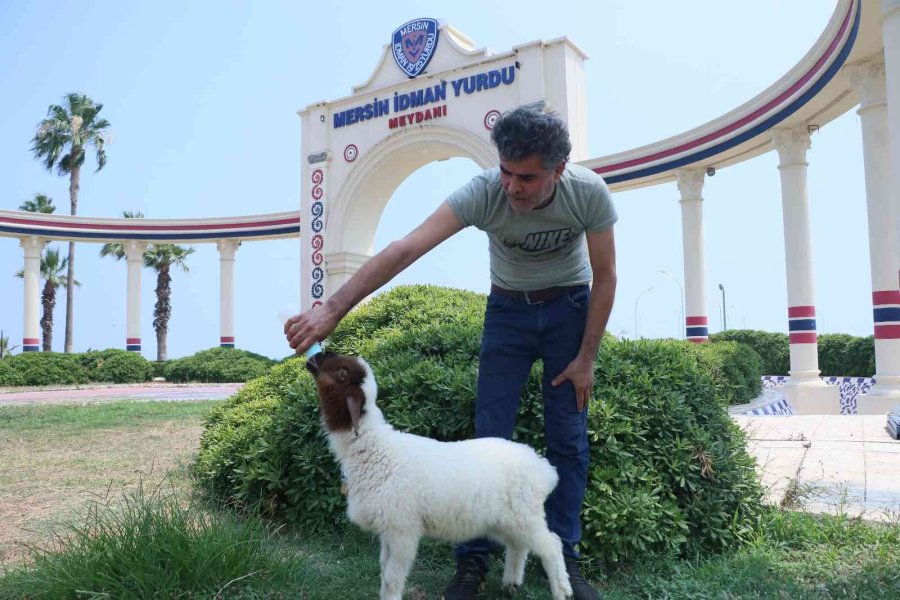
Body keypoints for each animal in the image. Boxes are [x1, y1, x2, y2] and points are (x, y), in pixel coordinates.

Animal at [306, 350, 572, 600]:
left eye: (342, 372)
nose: (316, 356)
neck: (377, 448)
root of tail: (543, 468)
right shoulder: (388, 529)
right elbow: (383, 569)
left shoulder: (403, 530)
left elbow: (392, 577)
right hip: (507, 519)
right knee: (518, 545)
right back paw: (511, 584)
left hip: (526, 514)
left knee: (551, 545)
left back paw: (562, 591)